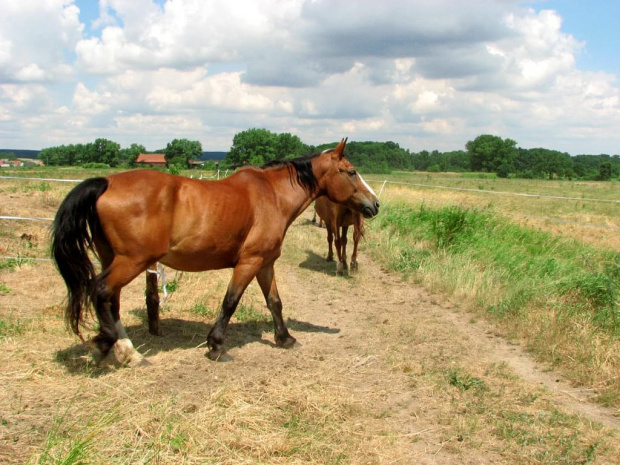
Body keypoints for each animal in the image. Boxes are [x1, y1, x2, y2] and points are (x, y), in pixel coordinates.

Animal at [52, 140, 378, 364]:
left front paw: (285, 339)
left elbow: (275, 303)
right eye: (351, 172)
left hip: (114, 259)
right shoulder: (249, 262)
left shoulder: (265, 264)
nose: (375, 204)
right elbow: (230, 302)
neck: (273, 195)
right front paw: (217, 346)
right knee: (101, 292)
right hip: (131, 262)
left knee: (111, 301)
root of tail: (107, 182)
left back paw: (123, 350)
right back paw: (110, 346)